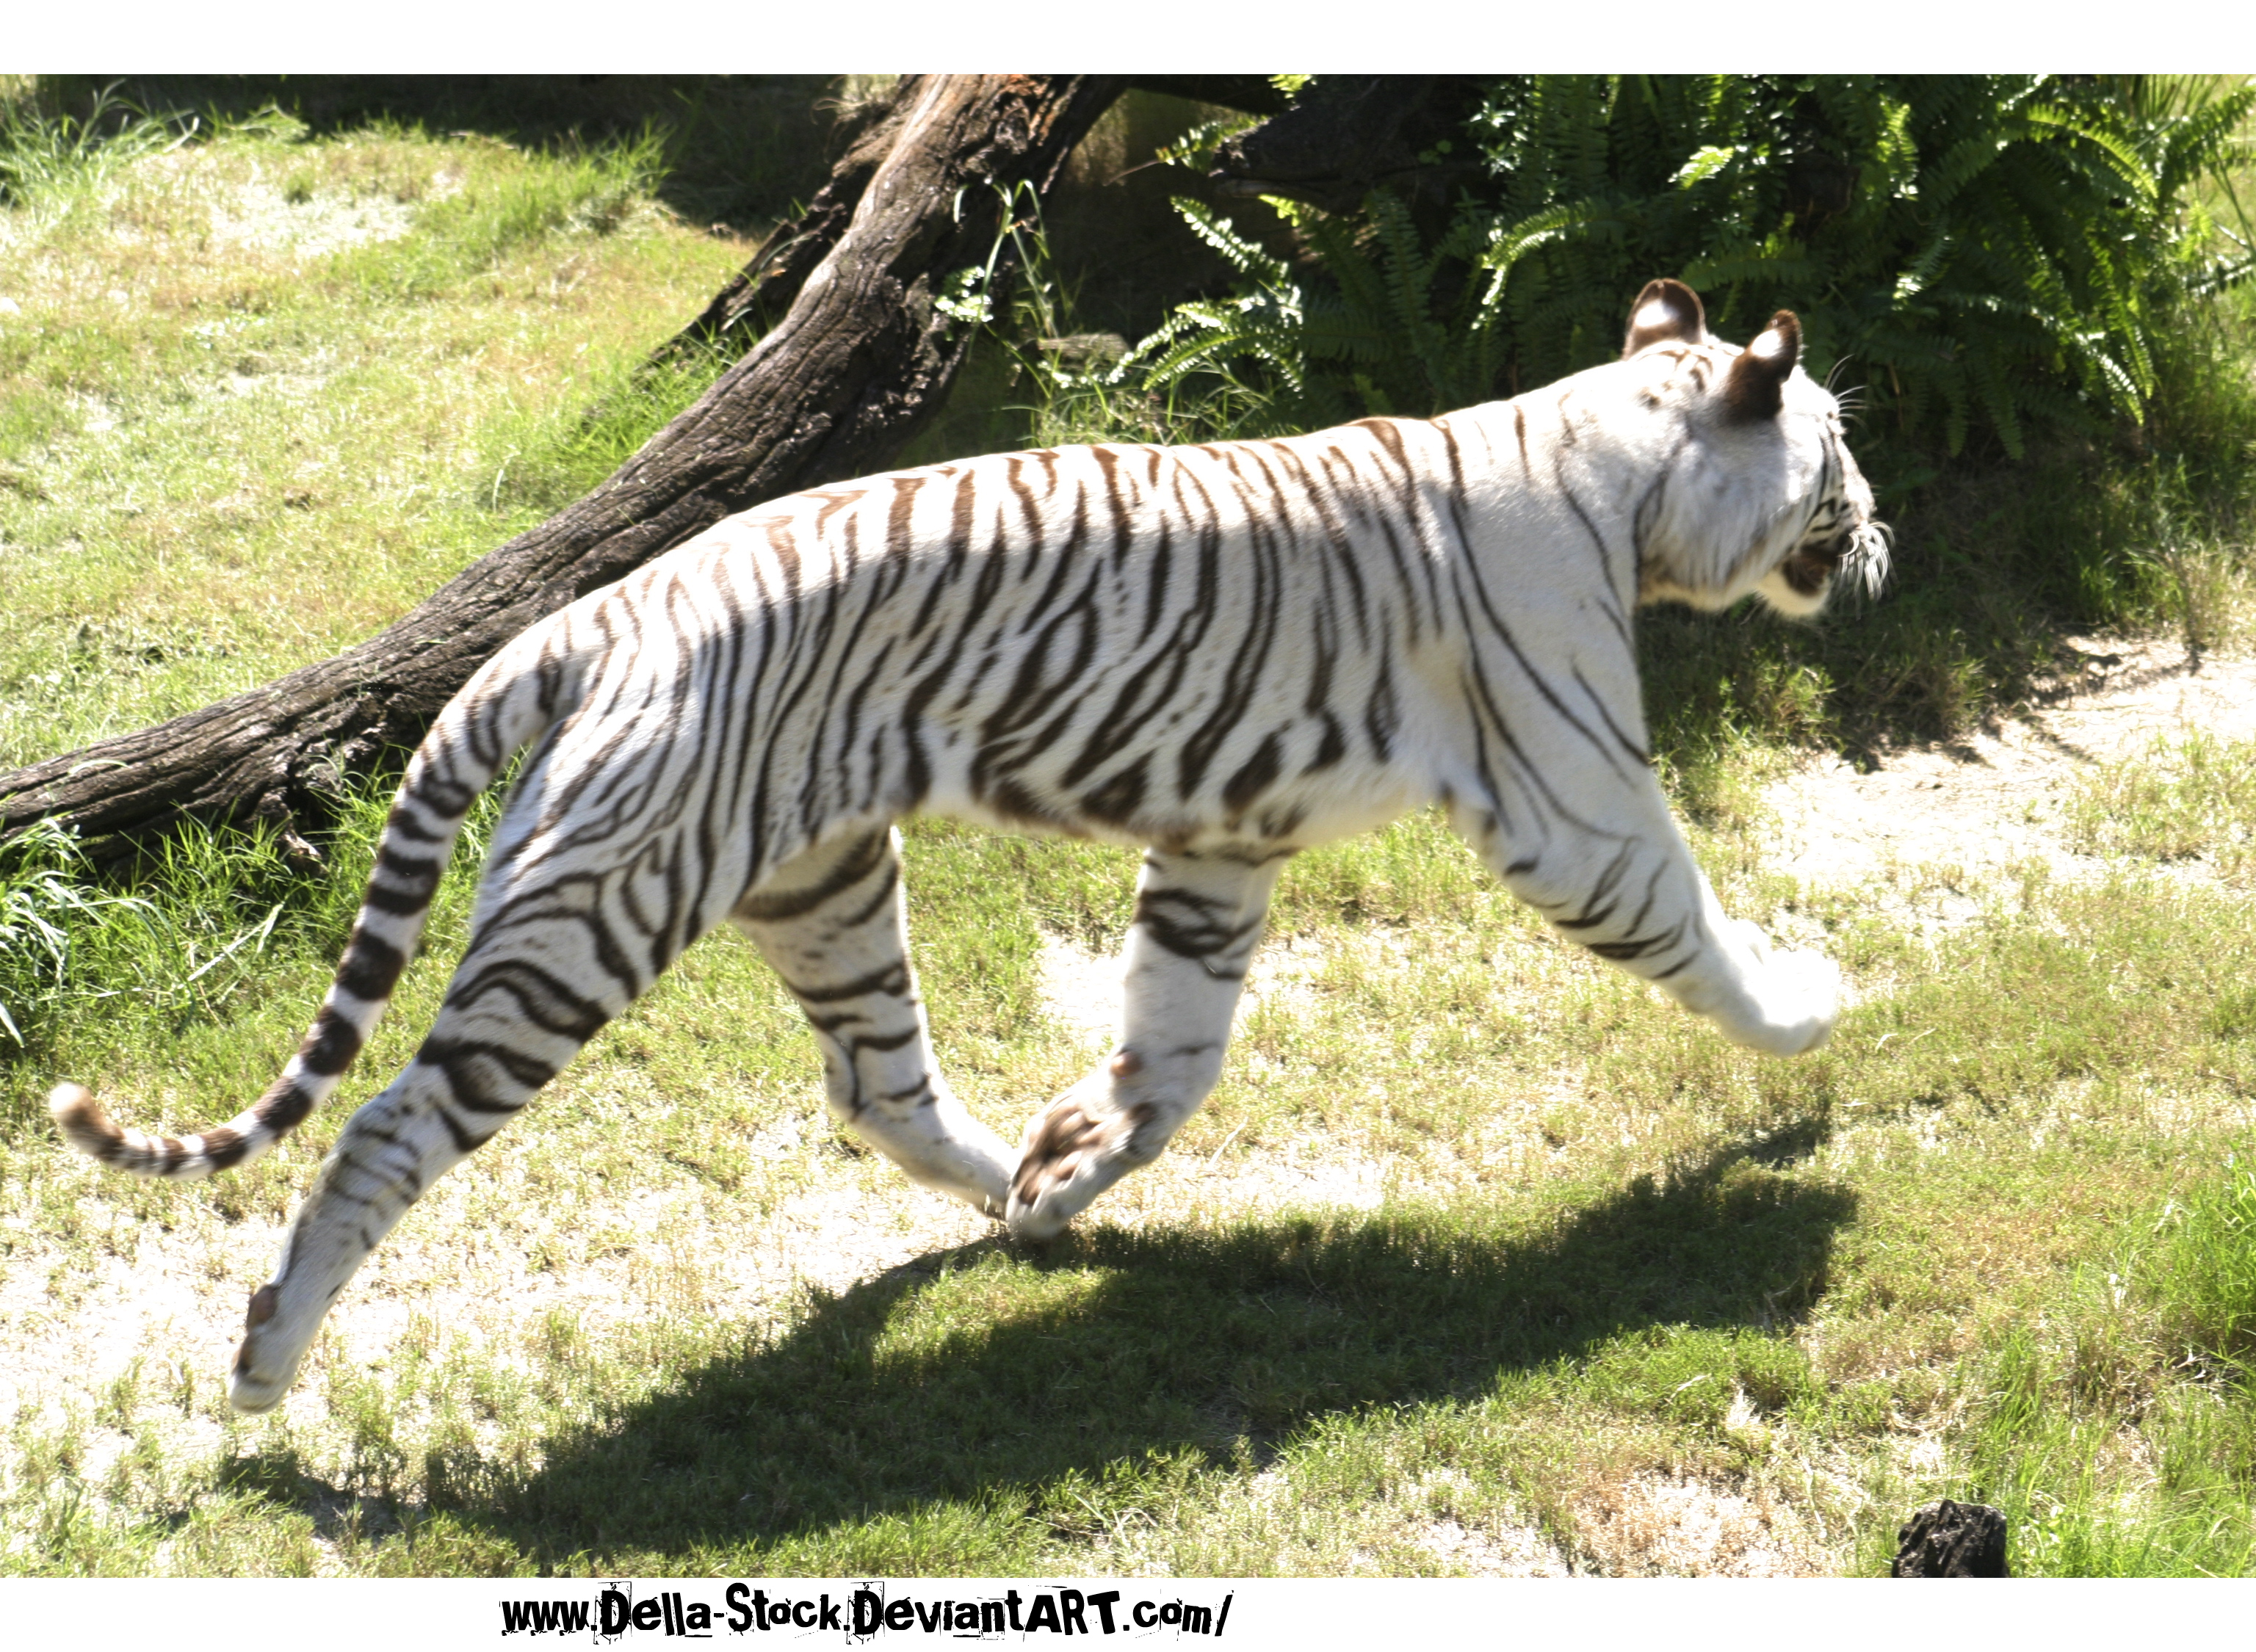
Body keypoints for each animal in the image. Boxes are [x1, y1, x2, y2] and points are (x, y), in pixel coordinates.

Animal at [53, 278, 1886, 1417]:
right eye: (1842, 453)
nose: (1878, 535)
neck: (1619, 467)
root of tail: (581, 622)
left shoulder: (1222, 839)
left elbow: (1178, 1050)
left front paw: (1078, 1165)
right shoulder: (1573, 798)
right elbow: (1693, 925)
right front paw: (1816, 1009)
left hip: (822, 883)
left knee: (875, 1082)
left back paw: (1011, 1182)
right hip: (590, 916)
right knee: (383, 1129)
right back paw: (263, 1367)